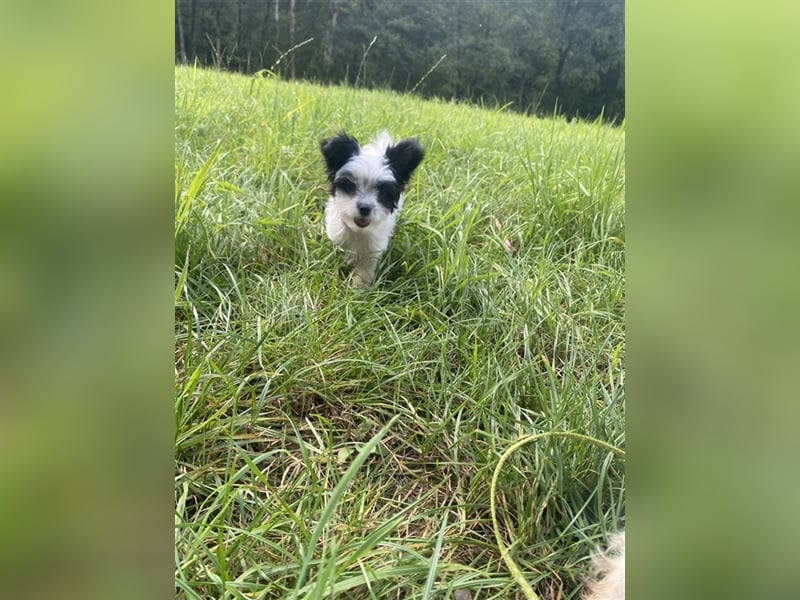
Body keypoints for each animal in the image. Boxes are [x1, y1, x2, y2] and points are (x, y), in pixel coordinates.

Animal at [320, 131, 424, 286]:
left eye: (383, 192)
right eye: (350, 186)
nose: (365, 208)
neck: (358, 231)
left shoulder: (373, 250)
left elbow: (365, 269)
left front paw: (358, 288)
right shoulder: (337, 236)